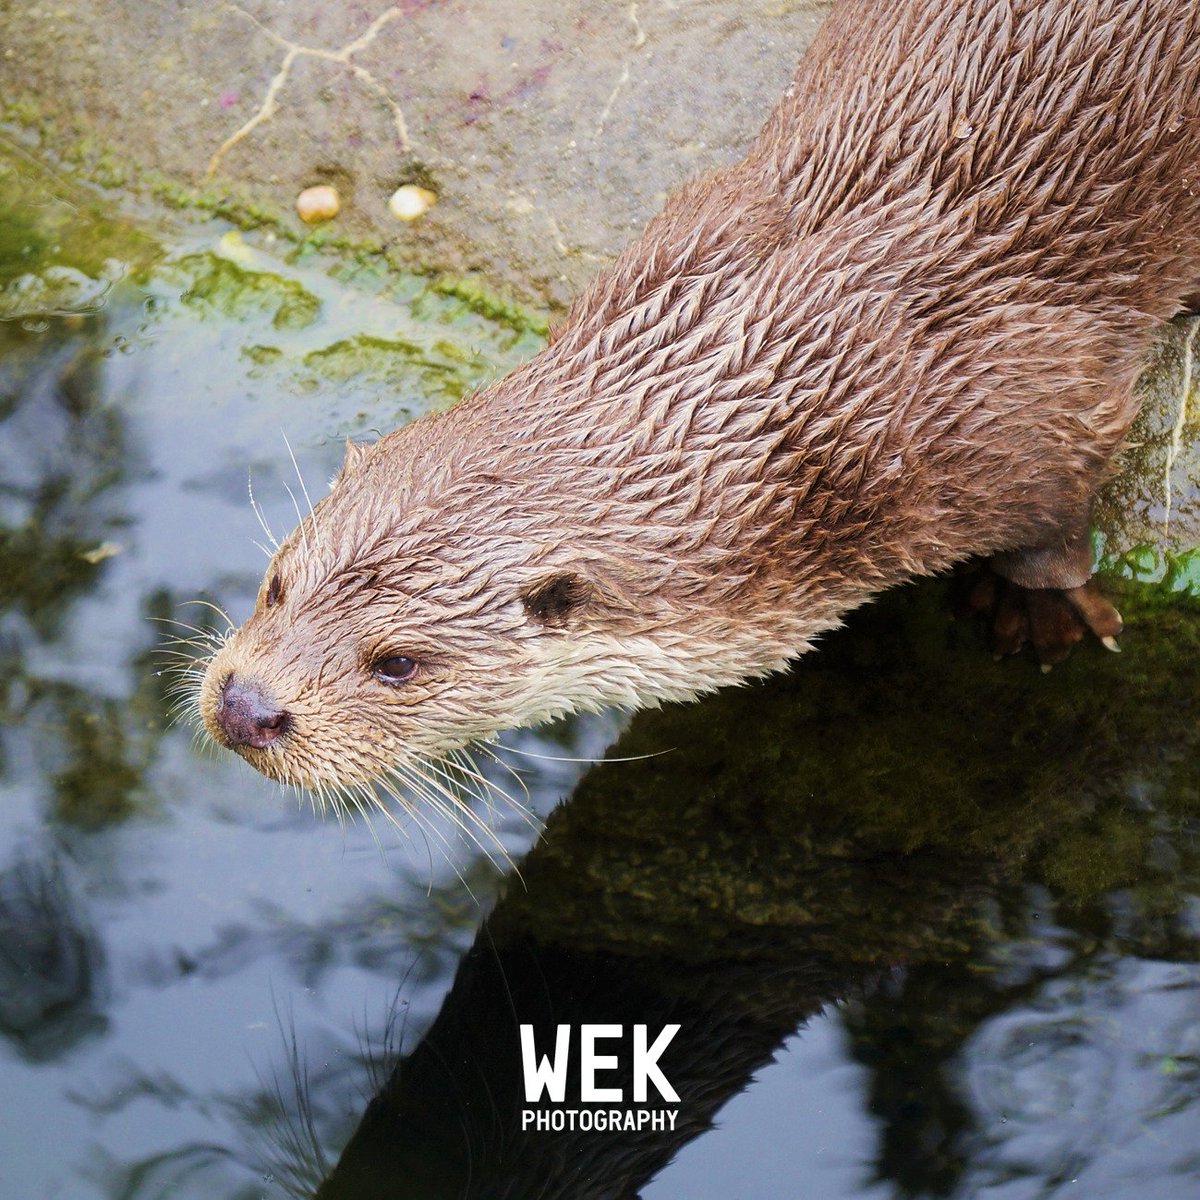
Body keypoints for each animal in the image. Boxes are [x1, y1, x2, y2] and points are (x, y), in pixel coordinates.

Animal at [198, 0, 1200, 798]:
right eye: (276, 582)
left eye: (398, 663)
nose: (248, 707)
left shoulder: (1030, 399)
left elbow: (1059, 515)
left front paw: (1038, 611)